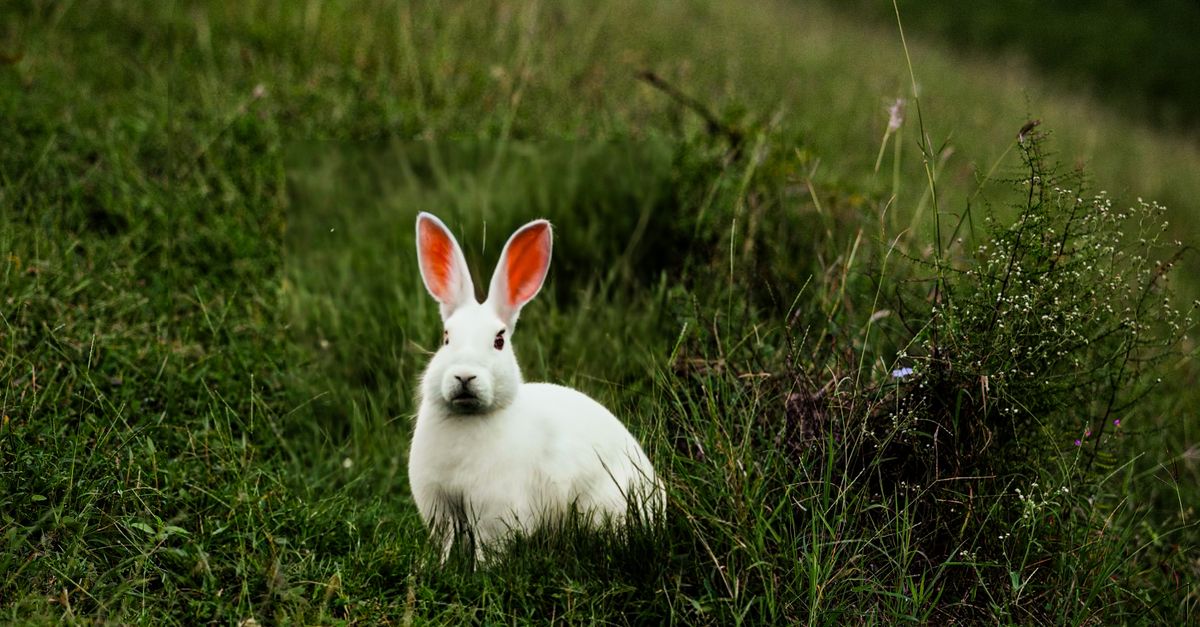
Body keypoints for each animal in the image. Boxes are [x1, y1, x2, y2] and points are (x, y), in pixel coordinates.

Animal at [408, 212, 663, 563]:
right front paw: (439, 568)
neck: (468, 418)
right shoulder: (442, 508)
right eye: (446, 337)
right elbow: (448, 543)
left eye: (499, 341)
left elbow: (489, 551)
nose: (464, 376)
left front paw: (483, 572)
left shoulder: (494, 512)